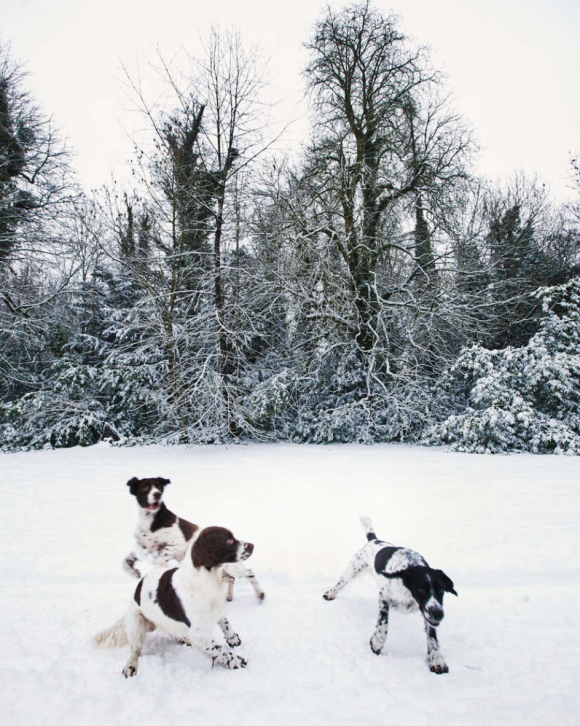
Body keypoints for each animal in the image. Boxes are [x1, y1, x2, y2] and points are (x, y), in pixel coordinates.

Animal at [95, 528, 254, 676]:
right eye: (229, 540)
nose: (252, 545)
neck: (205, 580)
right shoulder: (199, 633)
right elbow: (219, 650)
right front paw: (236, 661)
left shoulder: (215, 608)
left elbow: (225, 624)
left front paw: (233, 639)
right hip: (136, 624)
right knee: (135, 649)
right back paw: (130, 665)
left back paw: (184, 639)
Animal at [123, 478, 266, 604]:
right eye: (145, 487)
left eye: (159, 487)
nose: (157, 494)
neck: (152, 520)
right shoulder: (141, 547)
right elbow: (126, 562)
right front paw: (134, 572)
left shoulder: (176, 544)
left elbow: (159, 559)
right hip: (223, 573)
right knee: (231, 579)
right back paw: (229, 595)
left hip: (233, 567)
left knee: (249, 574)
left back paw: (260, 594)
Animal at [324, 516, 456, 676]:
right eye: (421, 590)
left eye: (441, 590)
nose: (438, 614)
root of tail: (374, 539)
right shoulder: (384, 596)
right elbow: (383, 621)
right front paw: (377, 642)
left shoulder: (428, 611)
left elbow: (432, 637)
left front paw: (437, 660)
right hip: (353, 569)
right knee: (340, 583)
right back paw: (330, 593)